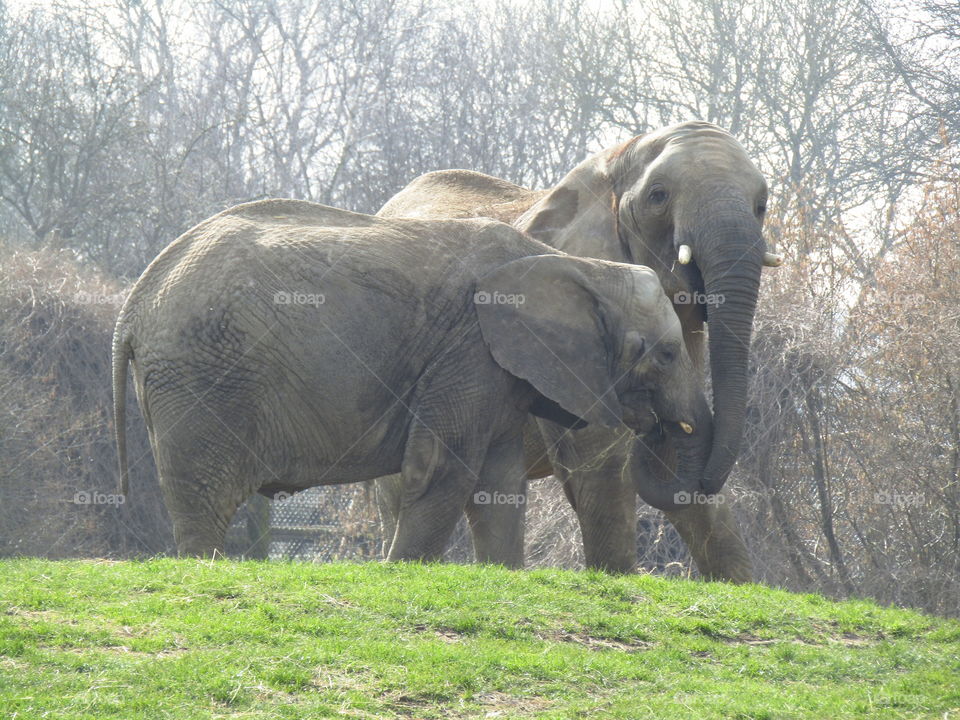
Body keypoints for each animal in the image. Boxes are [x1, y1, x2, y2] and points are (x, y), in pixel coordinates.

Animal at [112, 198, 714, 559]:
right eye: (665, 355)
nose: (664, 426)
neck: (575, 266)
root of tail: (136, 300)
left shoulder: (498, 372)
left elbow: (498, 484)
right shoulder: (468, 351)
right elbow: (440, 468)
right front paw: (399, 570)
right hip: (200, 376)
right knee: (204, 497)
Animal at [376, 120, 782, 580]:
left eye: (762, 205)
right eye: (658, 195)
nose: (651, 427)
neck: (614, 162)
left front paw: (738, 587)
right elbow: (598, 454)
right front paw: (616, 577)